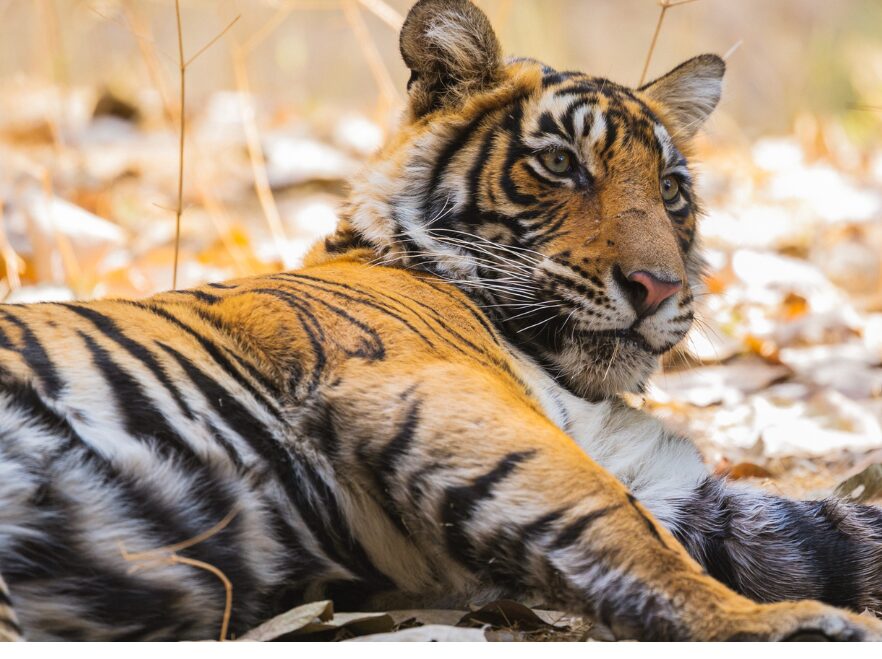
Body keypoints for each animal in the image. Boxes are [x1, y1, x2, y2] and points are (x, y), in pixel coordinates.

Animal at [1, 0, 881, 642]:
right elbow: (618, 524)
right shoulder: (445, 395)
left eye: (670, 190)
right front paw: (785, 623)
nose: (659, 287)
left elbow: (833, 531)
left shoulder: (668, 481)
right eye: (559, 162)